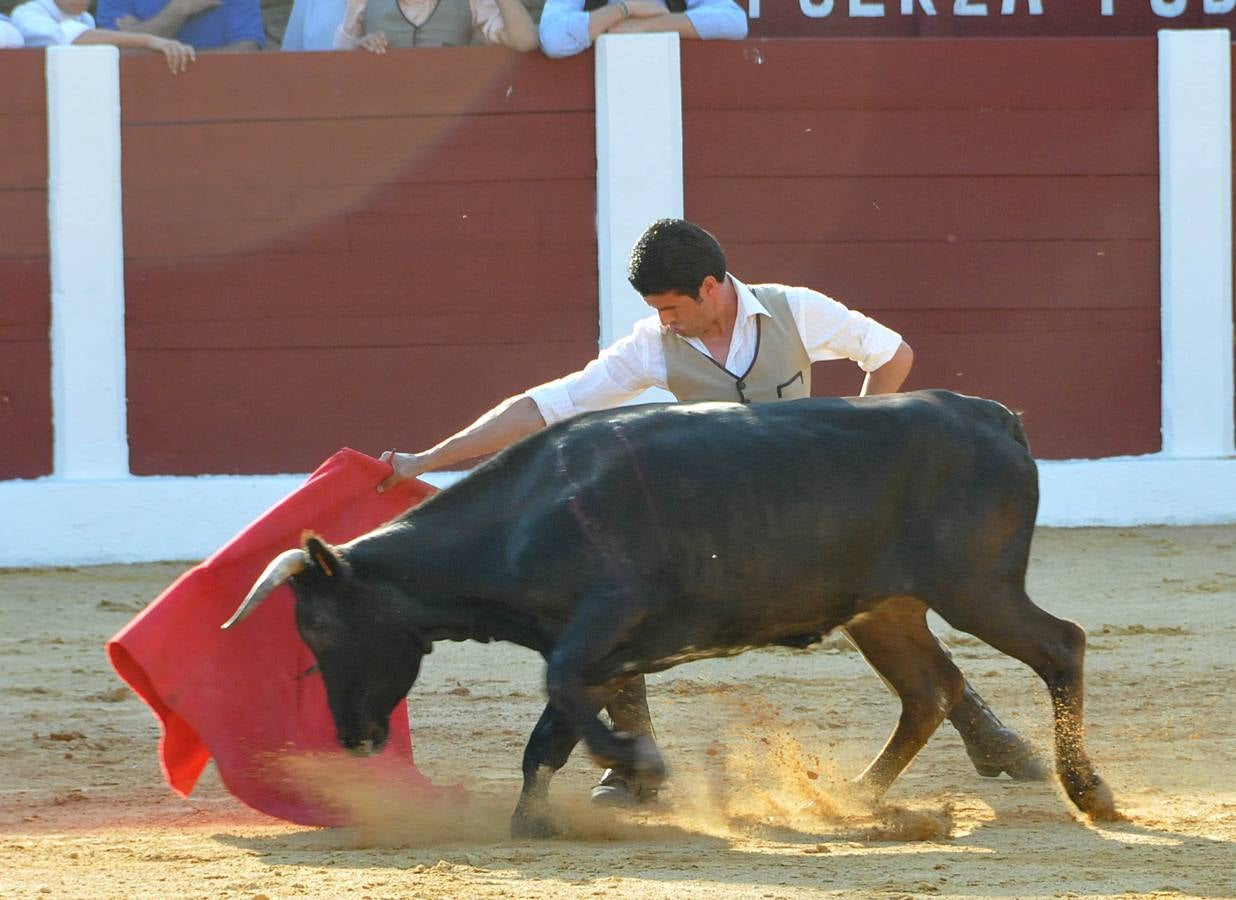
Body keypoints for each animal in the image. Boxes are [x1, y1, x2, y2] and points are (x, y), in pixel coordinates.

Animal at [222, 390, 1122, 830]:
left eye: (319, 627)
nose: (352, 739)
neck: (522, 519)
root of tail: (986, 414)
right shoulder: (595, 648)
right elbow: (549, 731)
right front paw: (536, 821)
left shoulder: (602, 625)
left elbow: (558, 697)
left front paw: (642, 766)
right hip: (887, 609)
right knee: (928, 690)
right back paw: (854, 799)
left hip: (976, 588)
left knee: (1060, 646)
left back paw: (1091, 793)